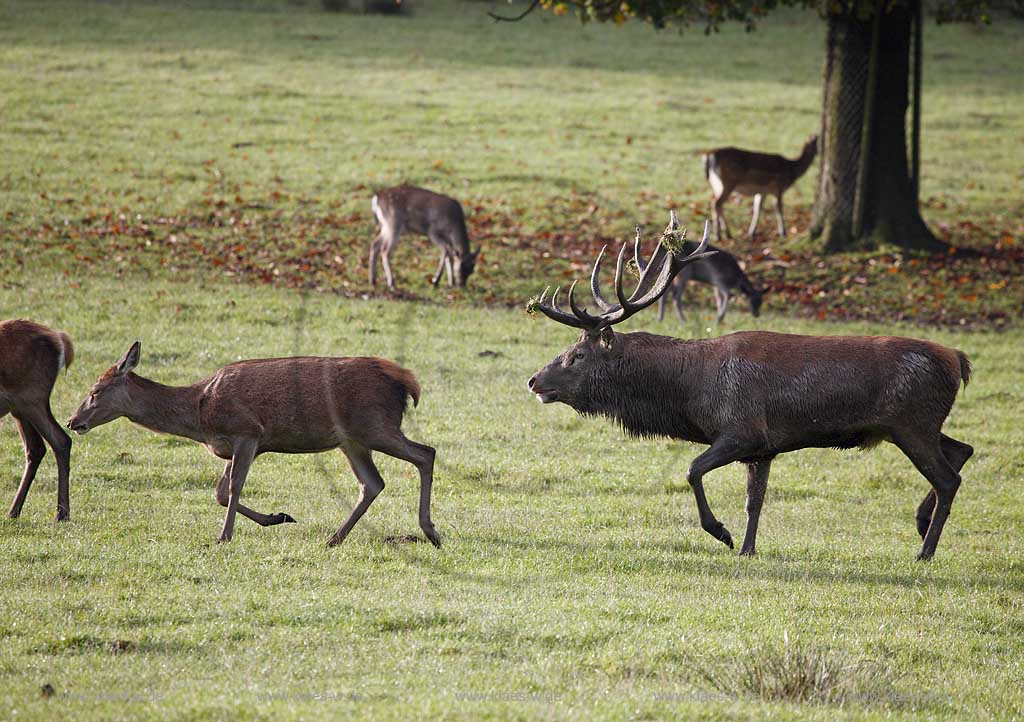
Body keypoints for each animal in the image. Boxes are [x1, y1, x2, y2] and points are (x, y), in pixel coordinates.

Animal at [66, 344, 442, 544]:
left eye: (95, 391)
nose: (73, 421)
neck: (200, 413)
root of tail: (406, 382)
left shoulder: (248, 433)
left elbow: (233, 487)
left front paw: (224, 535)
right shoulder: (230, 446)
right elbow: (219, 492)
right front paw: (280, 516)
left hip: (375, 425)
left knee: (426, 453)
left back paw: (430, 531)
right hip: (351, 440)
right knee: (373, 483)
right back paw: (334, 538)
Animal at [532, 210, 970, 561]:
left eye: (579, 354)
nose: (534, 380)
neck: (690, 393)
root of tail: (958, 360)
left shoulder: (742, 430)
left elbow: (693, 470)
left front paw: (722, 534)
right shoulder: (764, 448)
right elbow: (753, 502)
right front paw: (748, 548)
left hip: (911, 423)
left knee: (949, 477)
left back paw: (925, 550)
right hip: (915, 426)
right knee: (962, 450)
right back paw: (920, 521)